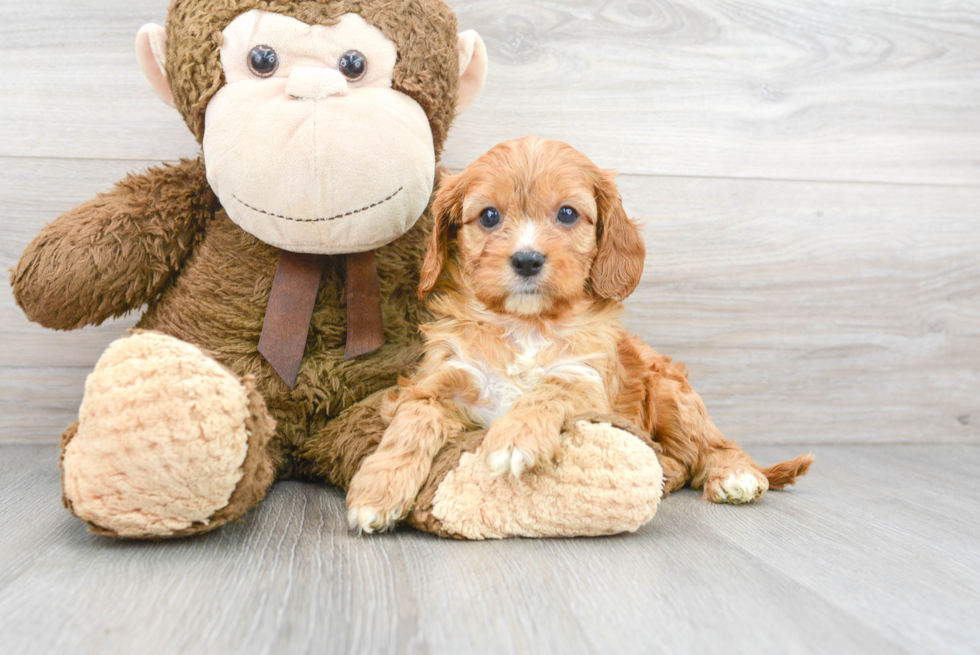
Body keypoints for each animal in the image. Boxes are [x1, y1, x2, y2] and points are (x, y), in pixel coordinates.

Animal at [346, 137, 812, 532]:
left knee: (711, 446)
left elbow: (546, 390)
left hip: (671, 394)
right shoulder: (438, 381)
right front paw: (376, 492)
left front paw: (514, 438)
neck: (526, 325)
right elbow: (412, 423)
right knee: (679, 461)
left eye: (568, 213)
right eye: (489, 216)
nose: (527, 260)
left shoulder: (585, 380)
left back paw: (734, 475)